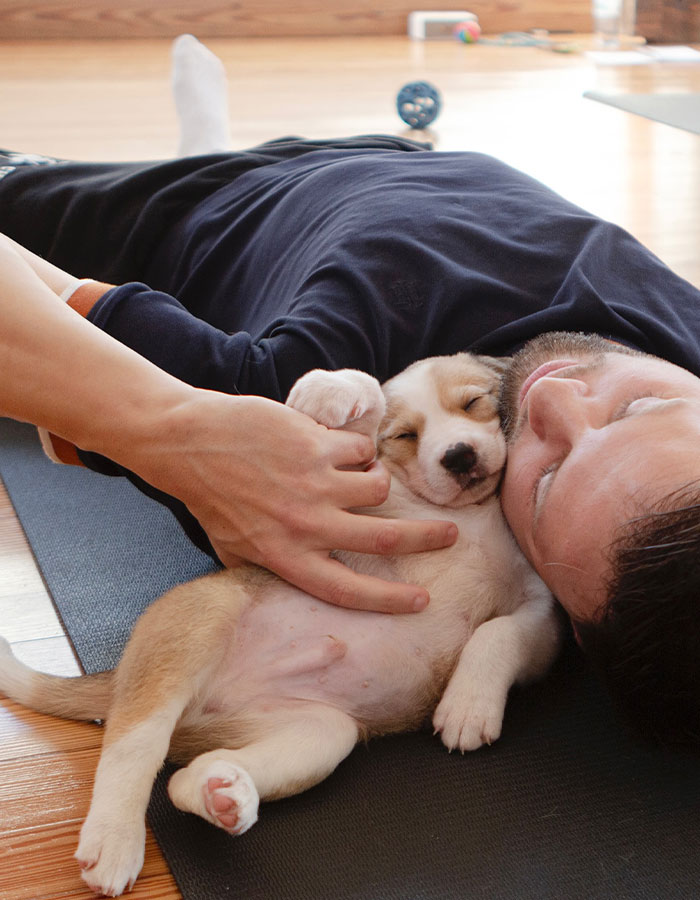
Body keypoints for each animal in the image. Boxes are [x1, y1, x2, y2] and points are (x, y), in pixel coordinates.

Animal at [0, 352, 560, 892]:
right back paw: (115, 840)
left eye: (473, 403)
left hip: (320, 733)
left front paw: (469, 704)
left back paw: (223, 793)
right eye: (406, 435)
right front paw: (332, 388)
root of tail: (119, 678)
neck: (470, 516)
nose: (458, 455)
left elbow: (496, 632)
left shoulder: (539, 615)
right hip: (201, 626)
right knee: (130, 747)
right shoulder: (355, 504)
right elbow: (368, 406)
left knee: (182, 779)